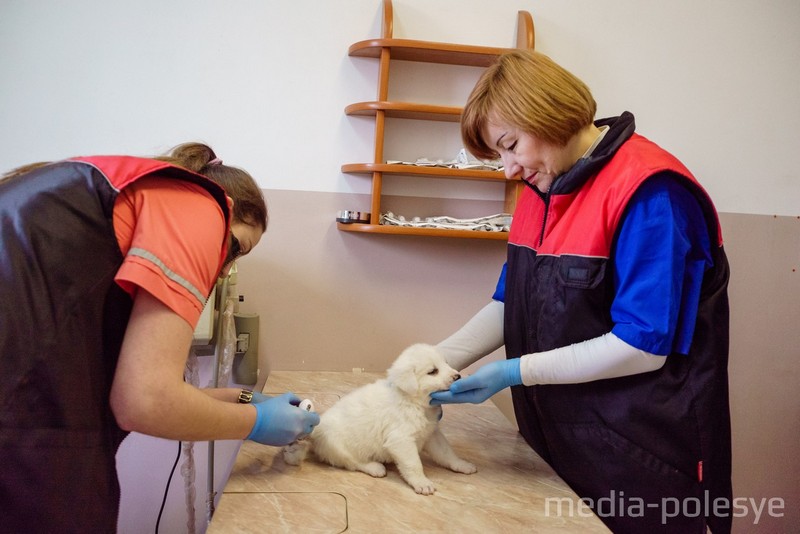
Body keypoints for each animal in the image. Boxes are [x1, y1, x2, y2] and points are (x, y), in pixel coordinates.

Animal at [282, 346, 476, 496]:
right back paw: (375, 467)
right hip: (339, 446)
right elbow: (414, 464)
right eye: (433, 371)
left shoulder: (432, 433)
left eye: (446, 363)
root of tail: (315, 432)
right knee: (353, 462)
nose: (458, 377)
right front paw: (422, 483)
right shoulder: (401, 441)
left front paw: (462, 465)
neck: (412, 401)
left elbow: (447, 453)